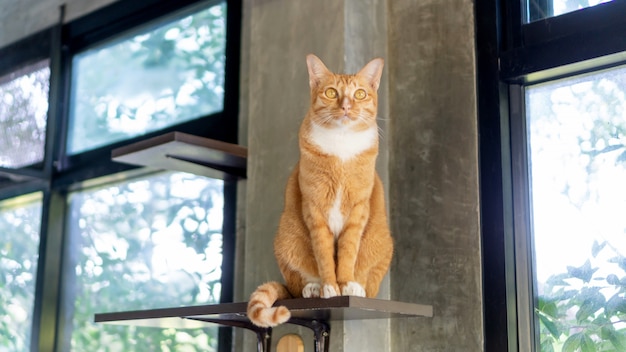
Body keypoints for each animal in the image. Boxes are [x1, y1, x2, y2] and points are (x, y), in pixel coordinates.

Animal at [244, 54, 390, 328]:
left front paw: (344, 283)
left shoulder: (358, 209)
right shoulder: (314, 208)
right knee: (297, 284)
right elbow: (323, 254)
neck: (342, 145)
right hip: (286, 240)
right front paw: (329, 287)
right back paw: (313, 288)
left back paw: (357, 287)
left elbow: (348, 251)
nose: (346, 107)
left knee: (369, 283)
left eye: (360, 94)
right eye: (331, 93)